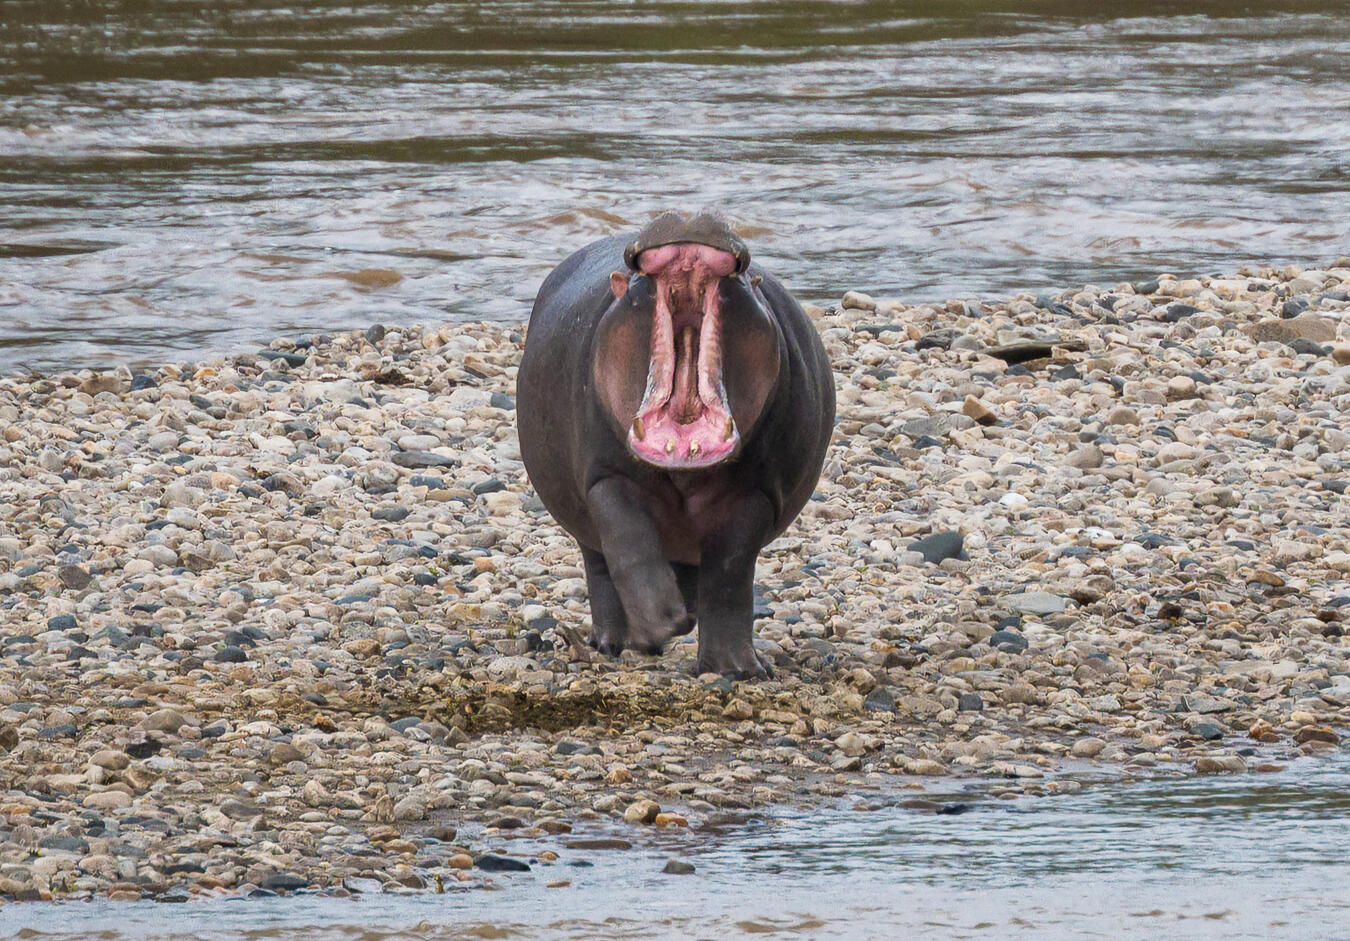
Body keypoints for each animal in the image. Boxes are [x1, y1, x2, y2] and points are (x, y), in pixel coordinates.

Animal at [517, 210, 834, 679]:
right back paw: (615, 642)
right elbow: (629, 545)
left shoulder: (756, 490)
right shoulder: (605, 477)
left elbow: (729, 574)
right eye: (632, 281)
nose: (688, 215)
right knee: (600, 568)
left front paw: (736, 669)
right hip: (581, 518)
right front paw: (663, 622)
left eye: (745, 282)